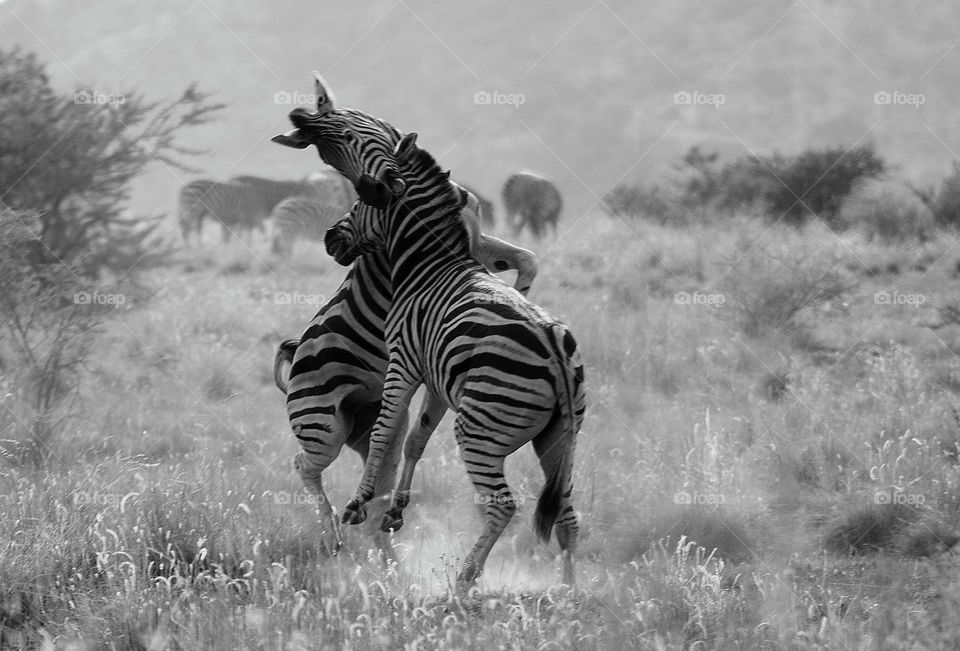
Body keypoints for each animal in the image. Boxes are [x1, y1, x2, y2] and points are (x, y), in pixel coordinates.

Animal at [324, 133, 585, 586]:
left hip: (479, 431)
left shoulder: (403, 362)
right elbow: (416, 438)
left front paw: (359, 503)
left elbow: (383, 432)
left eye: (359, 204)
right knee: (567, 517)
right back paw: (568, 591)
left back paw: (465, 577)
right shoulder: (436, 380)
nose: (328, 239)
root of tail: (552, 347)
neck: (429, 264)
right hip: (559, 441)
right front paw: (395, 510)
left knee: (503, 506)